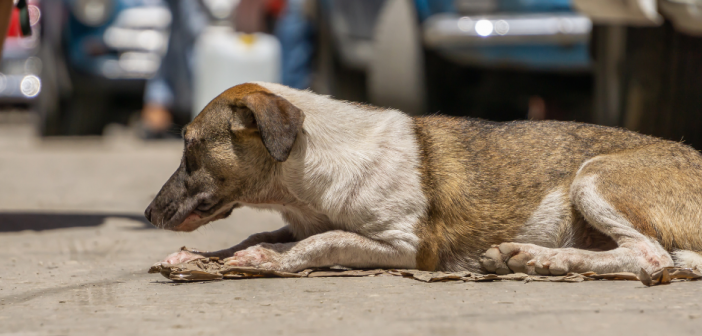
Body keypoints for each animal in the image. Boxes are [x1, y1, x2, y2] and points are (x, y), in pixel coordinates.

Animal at [144, 82, 702, 276]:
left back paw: (545, 258)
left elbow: (320, 242)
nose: (147, 214)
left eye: (189, 146)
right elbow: (260, 232)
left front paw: (265, 259)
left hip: (594, 177)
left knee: (650, 257)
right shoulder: (297, 219)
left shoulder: (410, 247)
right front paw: (202, 257)